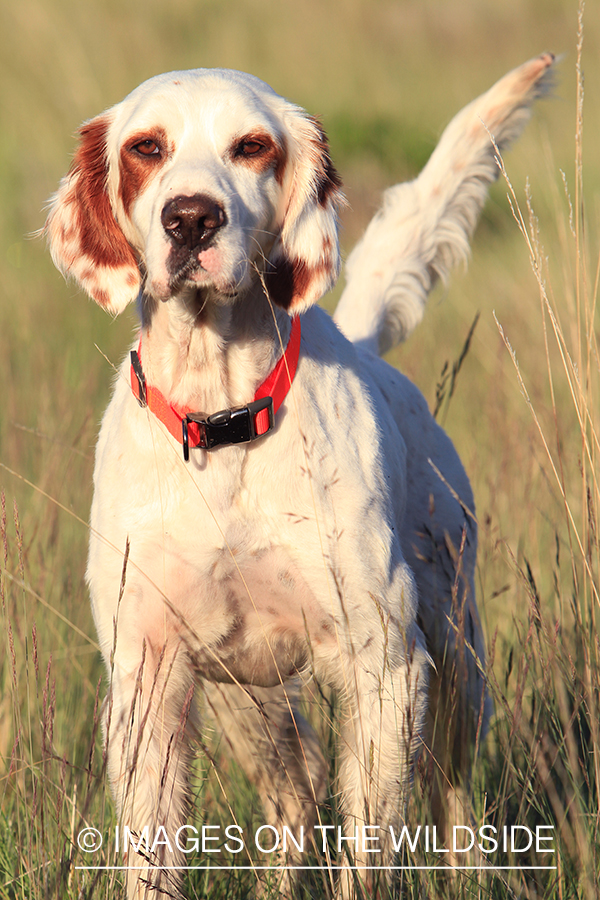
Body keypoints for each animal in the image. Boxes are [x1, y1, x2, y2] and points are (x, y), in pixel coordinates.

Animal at [45, 54, 552, 892]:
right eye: (147, 148)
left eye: (253, 147)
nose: (191, 218)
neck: (223, 418)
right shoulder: (147, 675)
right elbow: (153, 857)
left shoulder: (385, 666)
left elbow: (368, 852)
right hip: (245, 697)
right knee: (298, 787)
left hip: (457, 659)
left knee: (452, 804)